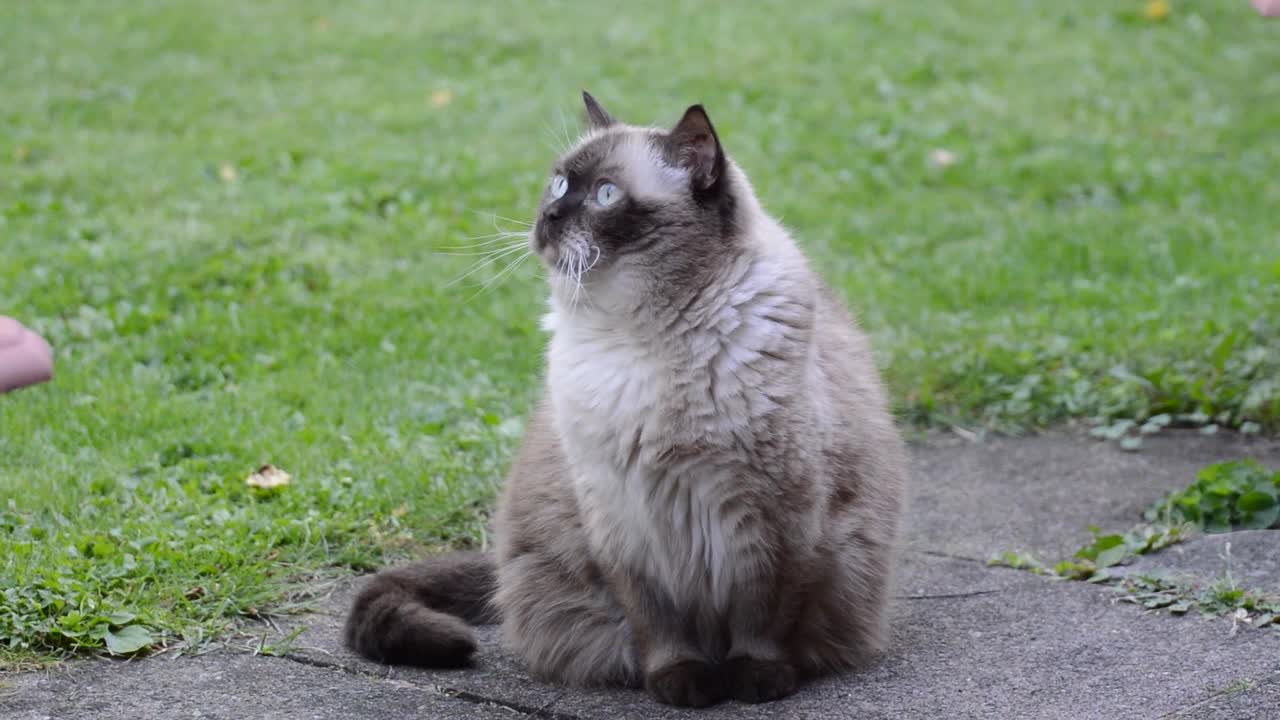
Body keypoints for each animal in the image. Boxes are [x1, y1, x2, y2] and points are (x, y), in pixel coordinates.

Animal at [348, 90, 911, 707]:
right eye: (559, 185)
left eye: (606, 195)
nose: (547, 219)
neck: (639, 338)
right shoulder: (624, 522)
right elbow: (658, 626)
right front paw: (682, 685)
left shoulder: (780, 515)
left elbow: (762, 616)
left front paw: (757, 682)